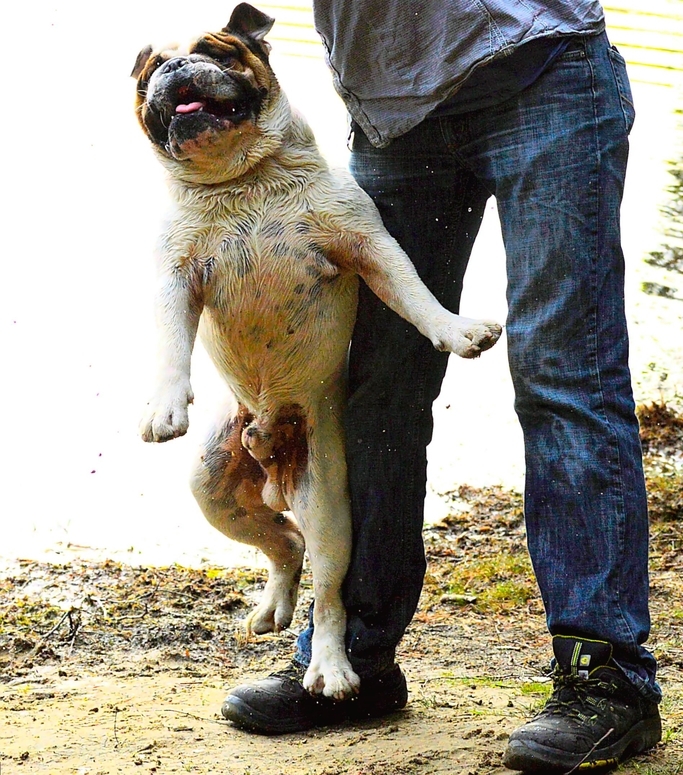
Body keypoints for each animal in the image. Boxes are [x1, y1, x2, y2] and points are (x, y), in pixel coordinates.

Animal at [131, 0, 502, 704]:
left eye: (215, 52)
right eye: (150, 71)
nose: (176, 69)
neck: (242, 178)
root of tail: (270, 452)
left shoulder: (367, 244)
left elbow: (414, 292)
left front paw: (455, 330)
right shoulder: (173, 277)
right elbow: (167, 344)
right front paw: (164, 407)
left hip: (329, 506)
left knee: (325, 587)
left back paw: (329, 668)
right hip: (213, 487)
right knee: (282, 544)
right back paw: (274, 606)